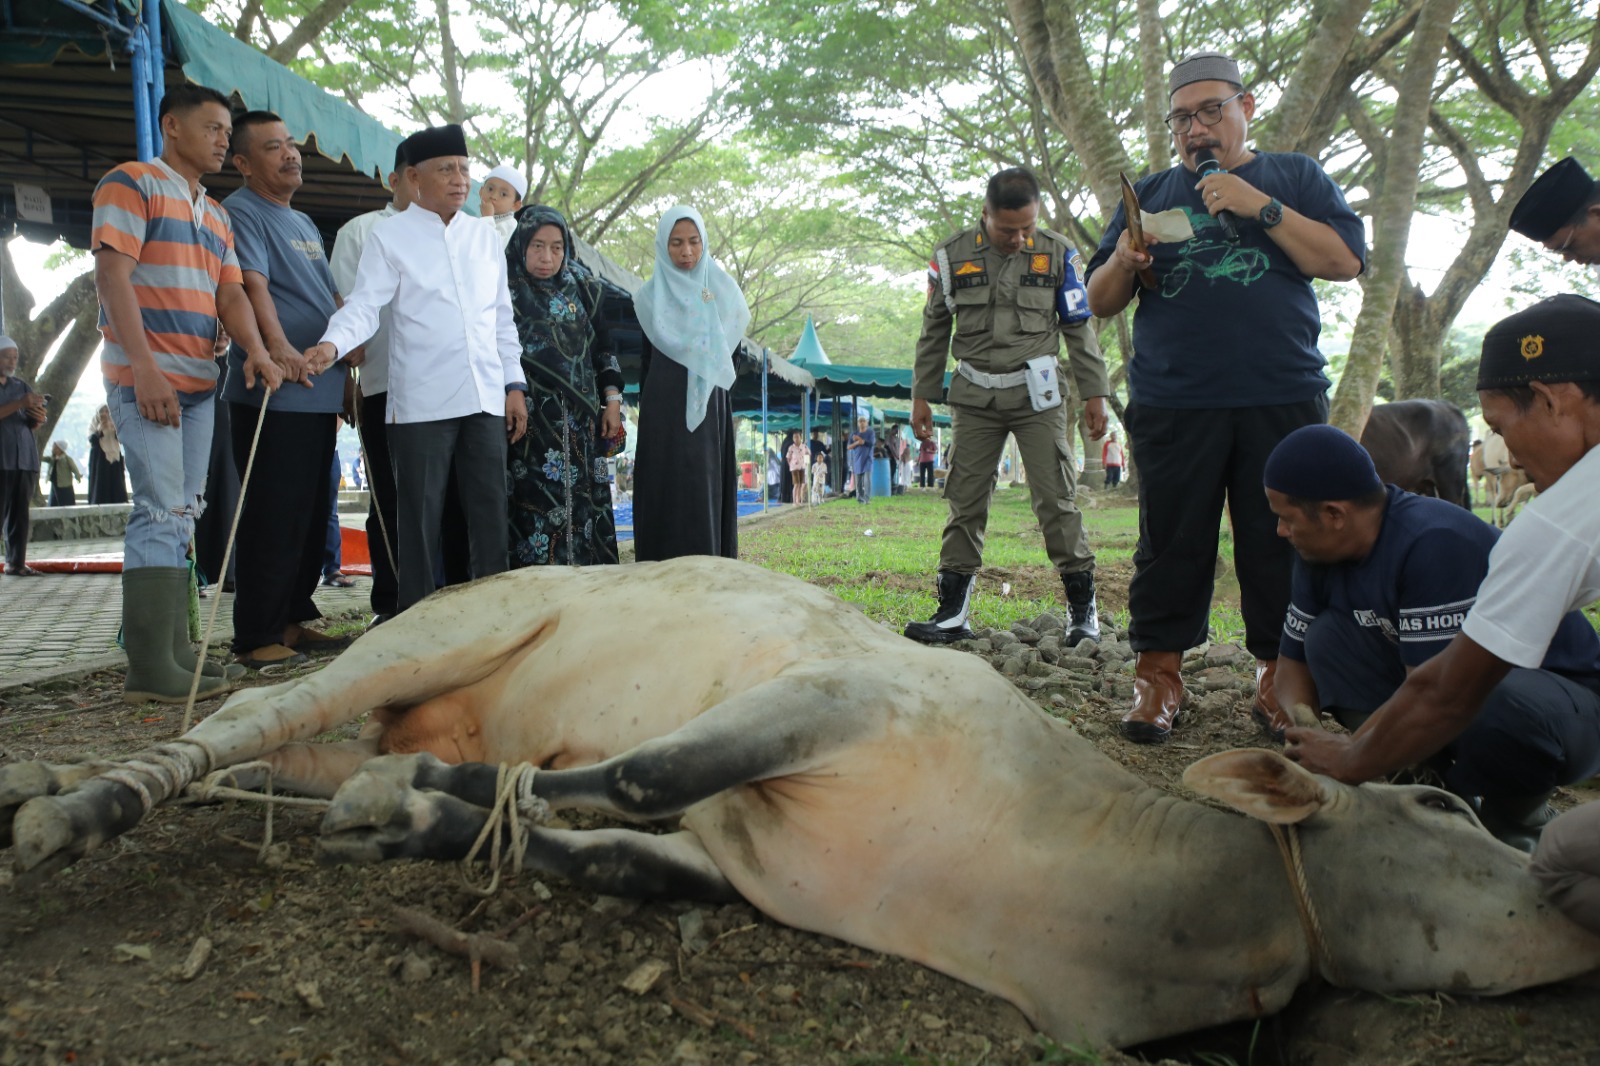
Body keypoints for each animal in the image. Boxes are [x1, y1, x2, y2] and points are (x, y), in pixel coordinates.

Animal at [3, 557, 1600, 1043]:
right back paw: (81, 806)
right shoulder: (833, 703)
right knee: (237, 722)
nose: (1570, 860)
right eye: (1446, 811)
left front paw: (429, 816)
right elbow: (635, 768)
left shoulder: (745, 870)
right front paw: (441, 789)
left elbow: (607, 846)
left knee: (272, 767)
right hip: (436, 626)